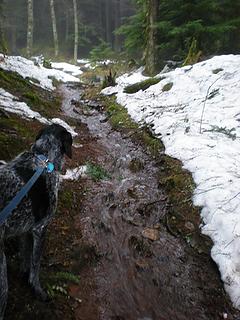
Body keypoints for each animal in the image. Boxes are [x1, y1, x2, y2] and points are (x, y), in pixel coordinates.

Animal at [0, 124, 72, 318]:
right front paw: (37, 290)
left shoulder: (24, 229)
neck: (43, 158)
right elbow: (35, 265)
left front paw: (23, 272)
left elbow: (25, 256)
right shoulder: (40, 228)